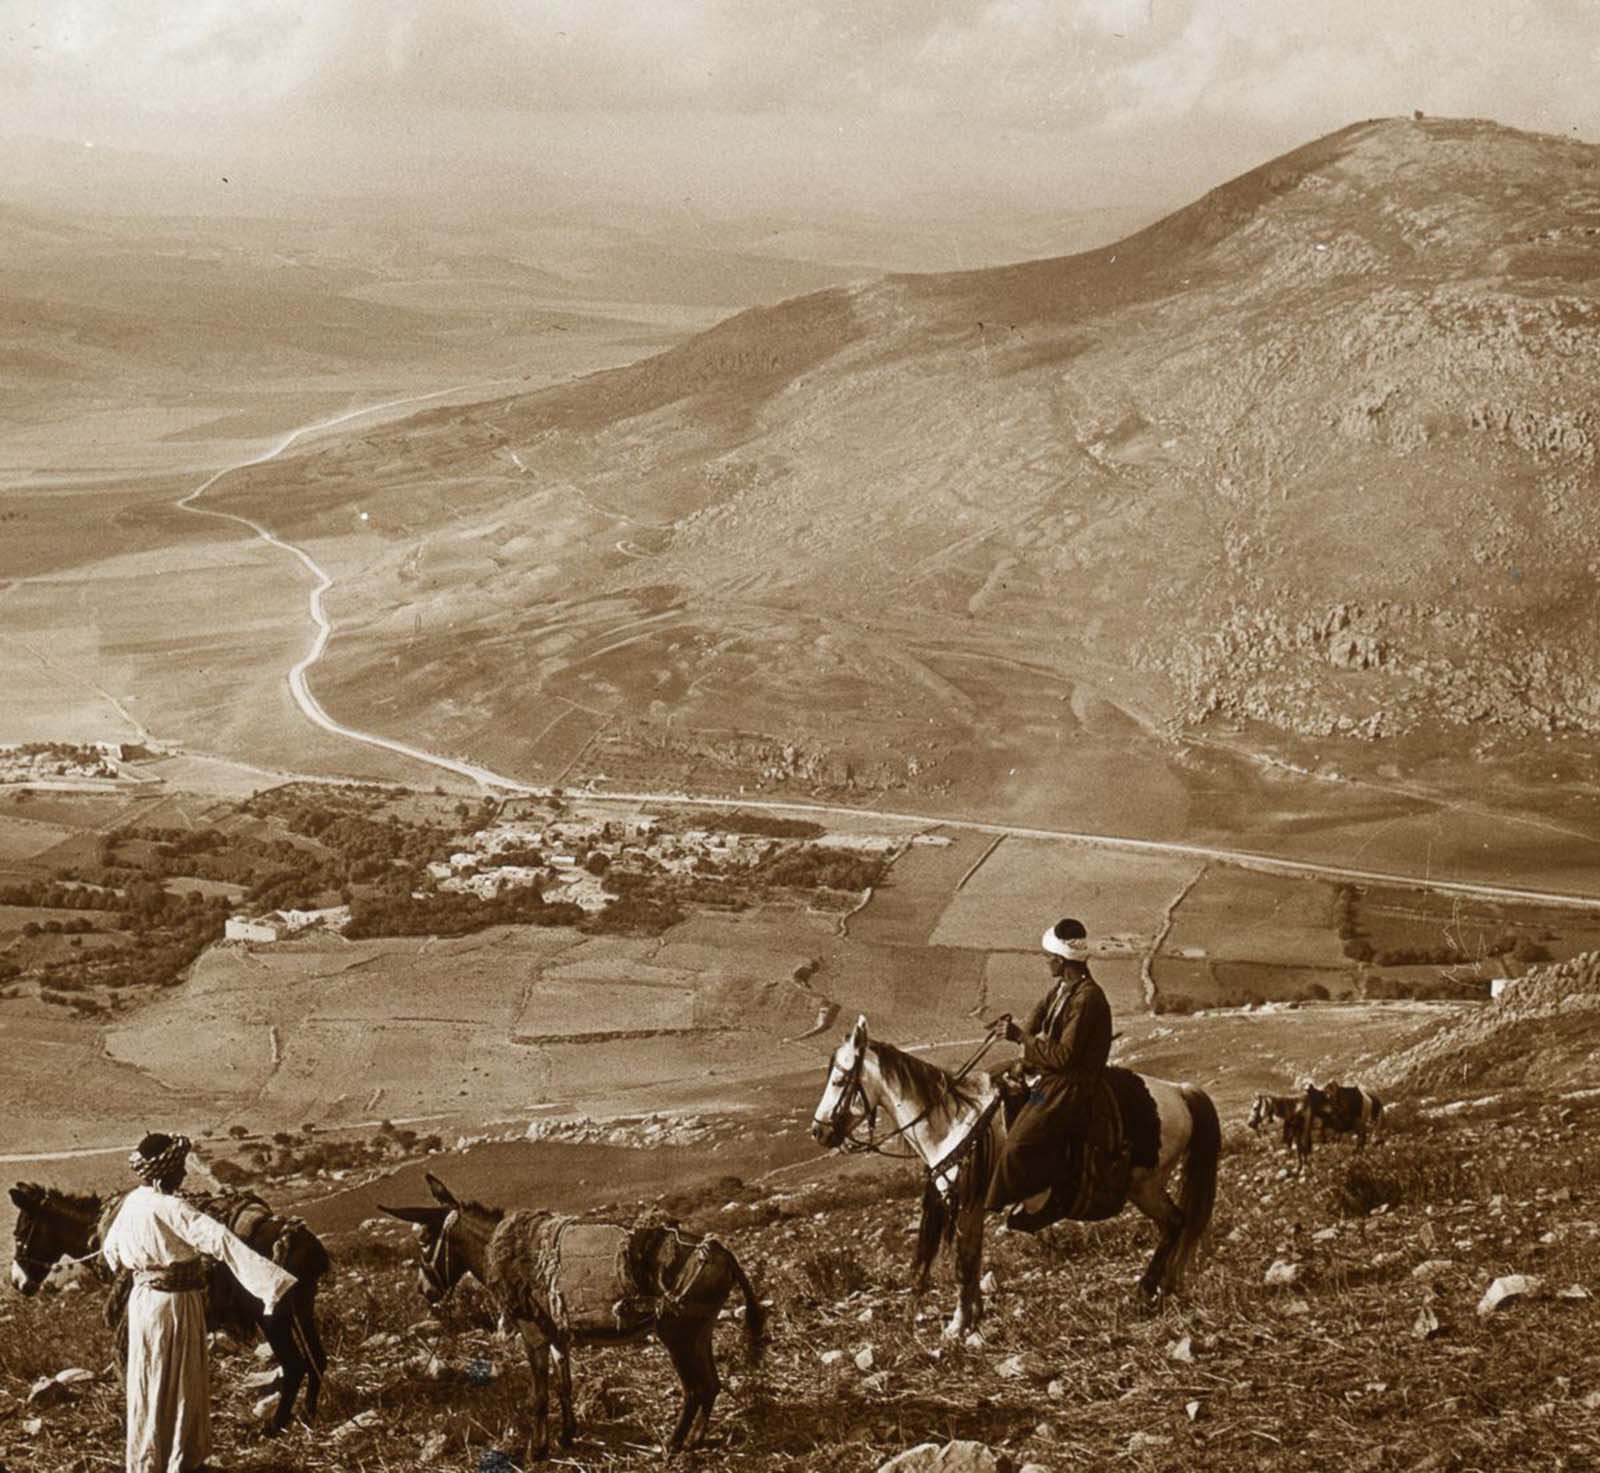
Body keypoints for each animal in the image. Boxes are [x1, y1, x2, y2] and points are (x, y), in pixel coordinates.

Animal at [4, 1177, 331, 1433]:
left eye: (19, 1234)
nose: (18, 1283)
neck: (103, 1232)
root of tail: (299, 1241)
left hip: (274, 1318)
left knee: (295, 1365)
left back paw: (275, 1425)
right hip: (302, 1309)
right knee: (317, 1358)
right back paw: (309, 1412)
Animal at [380, 1170, 768, 1458]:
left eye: (424, 1241)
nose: (424, 1291)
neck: (499, 1246)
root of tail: (720, 1250)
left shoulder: (532, 1332)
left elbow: (539, 1395)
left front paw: (537, 1451)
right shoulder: (557, 1331)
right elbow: (564, 1384)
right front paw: (567, 1436)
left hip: (678, 1334)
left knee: (694, 1388)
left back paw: (673, 1444)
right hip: (701, 1329)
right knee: (712, 1384)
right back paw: (695, 1441)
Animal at [812, 1010, 1222, 1330]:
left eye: (839, 1079)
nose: (818, 1131)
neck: (952, 1120)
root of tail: (1180, 1091)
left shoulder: (970, 1201)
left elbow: (964, 1262)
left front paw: (958, 1325)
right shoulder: (968, 1205)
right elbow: (970, 1259)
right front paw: (972, 1316)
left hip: (1146, 1184)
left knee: (1176, 1223)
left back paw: (1147, 1289)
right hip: (1146, 1187)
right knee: (1176, 1224)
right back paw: (1161, 1287)